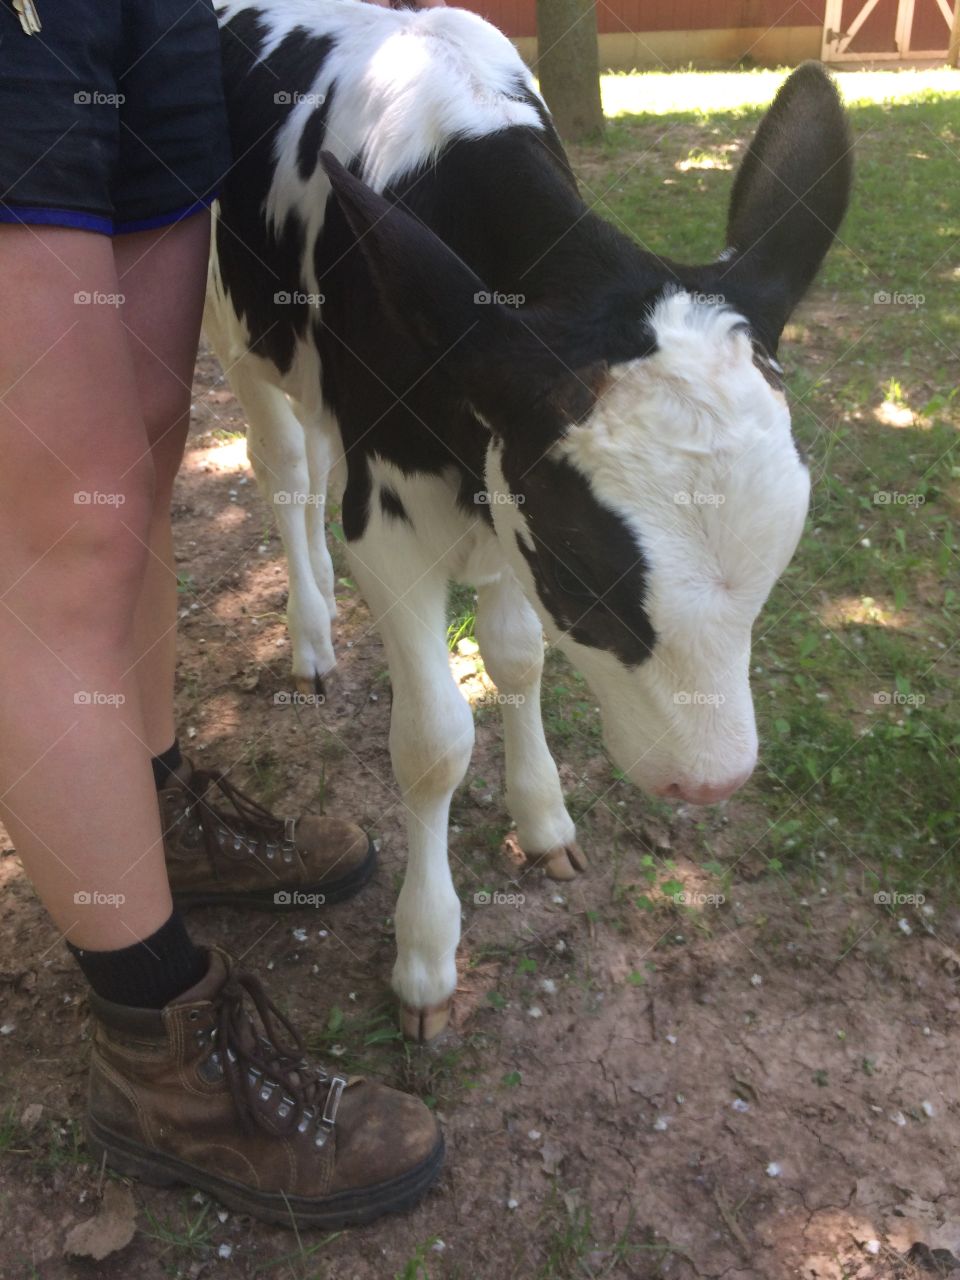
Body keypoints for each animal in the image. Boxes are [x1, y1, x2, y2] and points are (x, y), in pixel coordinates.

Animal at [205, 0, 852, 1040]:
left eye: (777, 564)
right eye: (586, 576)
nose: (711, 780)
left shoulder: (504, 488)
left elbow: (516, 659)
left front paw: (542, 818)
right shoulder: (391, 525)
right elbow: (434, 744)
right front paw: (426, 957)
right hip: (236, 334)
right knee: (287, 472)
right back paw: (309, 633)